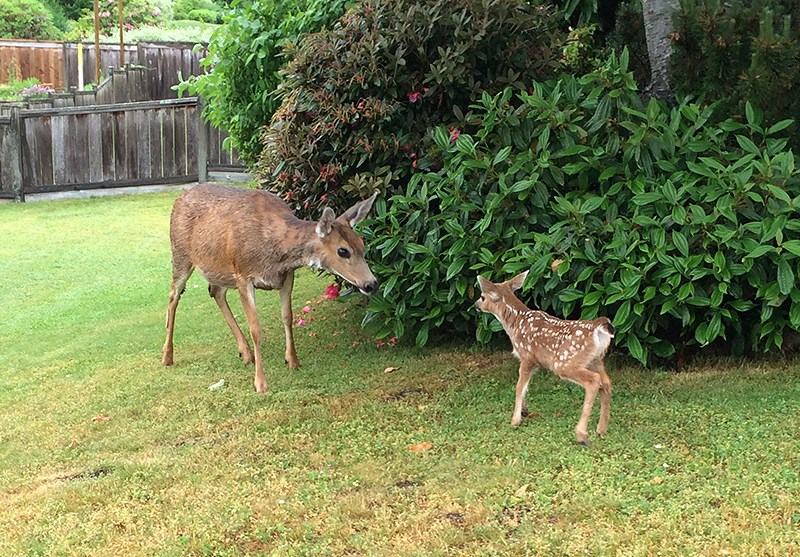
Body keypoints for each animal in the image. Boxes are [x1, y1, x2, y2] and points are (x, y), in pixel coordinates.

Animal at [161, 185, 380, 394]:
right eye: (343, 251)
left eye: (362, 244)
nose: (371, 284)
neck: (275, 248)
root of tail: (180, 198)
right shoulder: (244, 275)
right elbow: (256, 328)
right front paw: (260, 383)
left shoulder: (287, 275)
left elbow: (288, 316)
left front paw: (292, 361)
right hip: (180, 254)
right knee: (173, 296)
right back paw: (167, 356)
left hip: (218, 268)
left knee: (215, 291)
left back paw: (245, 353)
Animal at [478, 272, 616, 446]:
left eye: (482, 296)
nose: (475, 305)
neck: (515, 324)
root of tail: (596, 327)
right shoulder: (532, 362)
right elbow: (524, 386)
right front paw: (524, 411)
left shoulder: (527, 357)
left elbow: (519, 387)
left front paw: (515, 420)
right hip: (596, 360)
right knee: (606, 383)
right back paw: (601, 429)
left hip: (565, 362)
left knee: (593, 381)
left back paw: (582, 435)